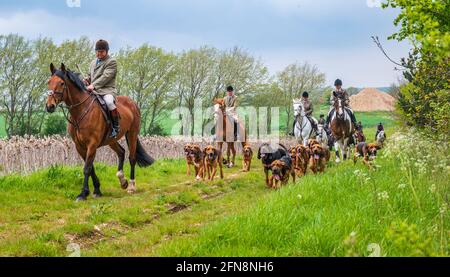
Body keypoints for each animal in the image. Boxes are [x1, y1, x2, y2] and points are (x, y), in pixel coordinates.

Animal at [45, 63, 155, 201]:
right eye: (49, 82)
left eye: (61, 83)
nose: (49, 106)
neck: (80, 111)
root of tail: (132, 103)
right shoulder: (80, 146)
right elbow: (90, 167)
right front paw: (96, 190)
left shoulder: (92, 144)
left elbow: (87, 168)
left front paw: (83, 193)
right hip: (111, 140)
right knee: (121, 152)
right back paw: (122, 180)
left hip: (132, 134)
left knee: (132, 158)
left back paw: (131, 186)